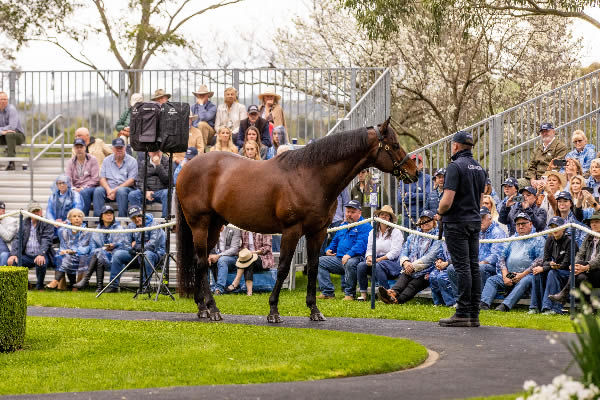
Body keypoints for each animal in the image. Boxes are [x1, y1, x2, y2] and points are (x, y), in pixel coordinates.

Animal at [176, 118, 414, 322]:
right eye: (394, 145)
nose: (415, 172)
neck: (310, 176)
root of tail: (186, 168)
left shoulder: (317, 232)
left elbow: (314, 267)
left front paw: (314, 310)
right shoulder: (292, 230)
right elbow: (282, 268)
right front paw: (273, 311)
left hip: (215, 224)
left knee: (201, 260)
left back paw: (202, 307)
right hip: (200, 223)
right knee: (202, 261)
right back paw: (212, 308)